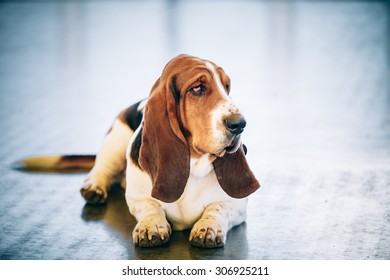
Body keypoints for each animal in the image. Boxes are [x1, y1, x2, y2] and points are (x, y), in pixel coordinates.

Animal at [17, 54, 258, 247]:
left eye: (227, 87)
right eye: (197, 88)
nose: (240, 124)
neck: (193, 166)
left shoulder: (236, 205)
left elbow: (218, 208)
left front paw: (208, 228)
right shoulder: (137, 198)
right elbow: (150, 206)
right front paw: (151, 225)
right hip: (115, 139)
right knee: (101, 169)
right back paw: (94, 187)